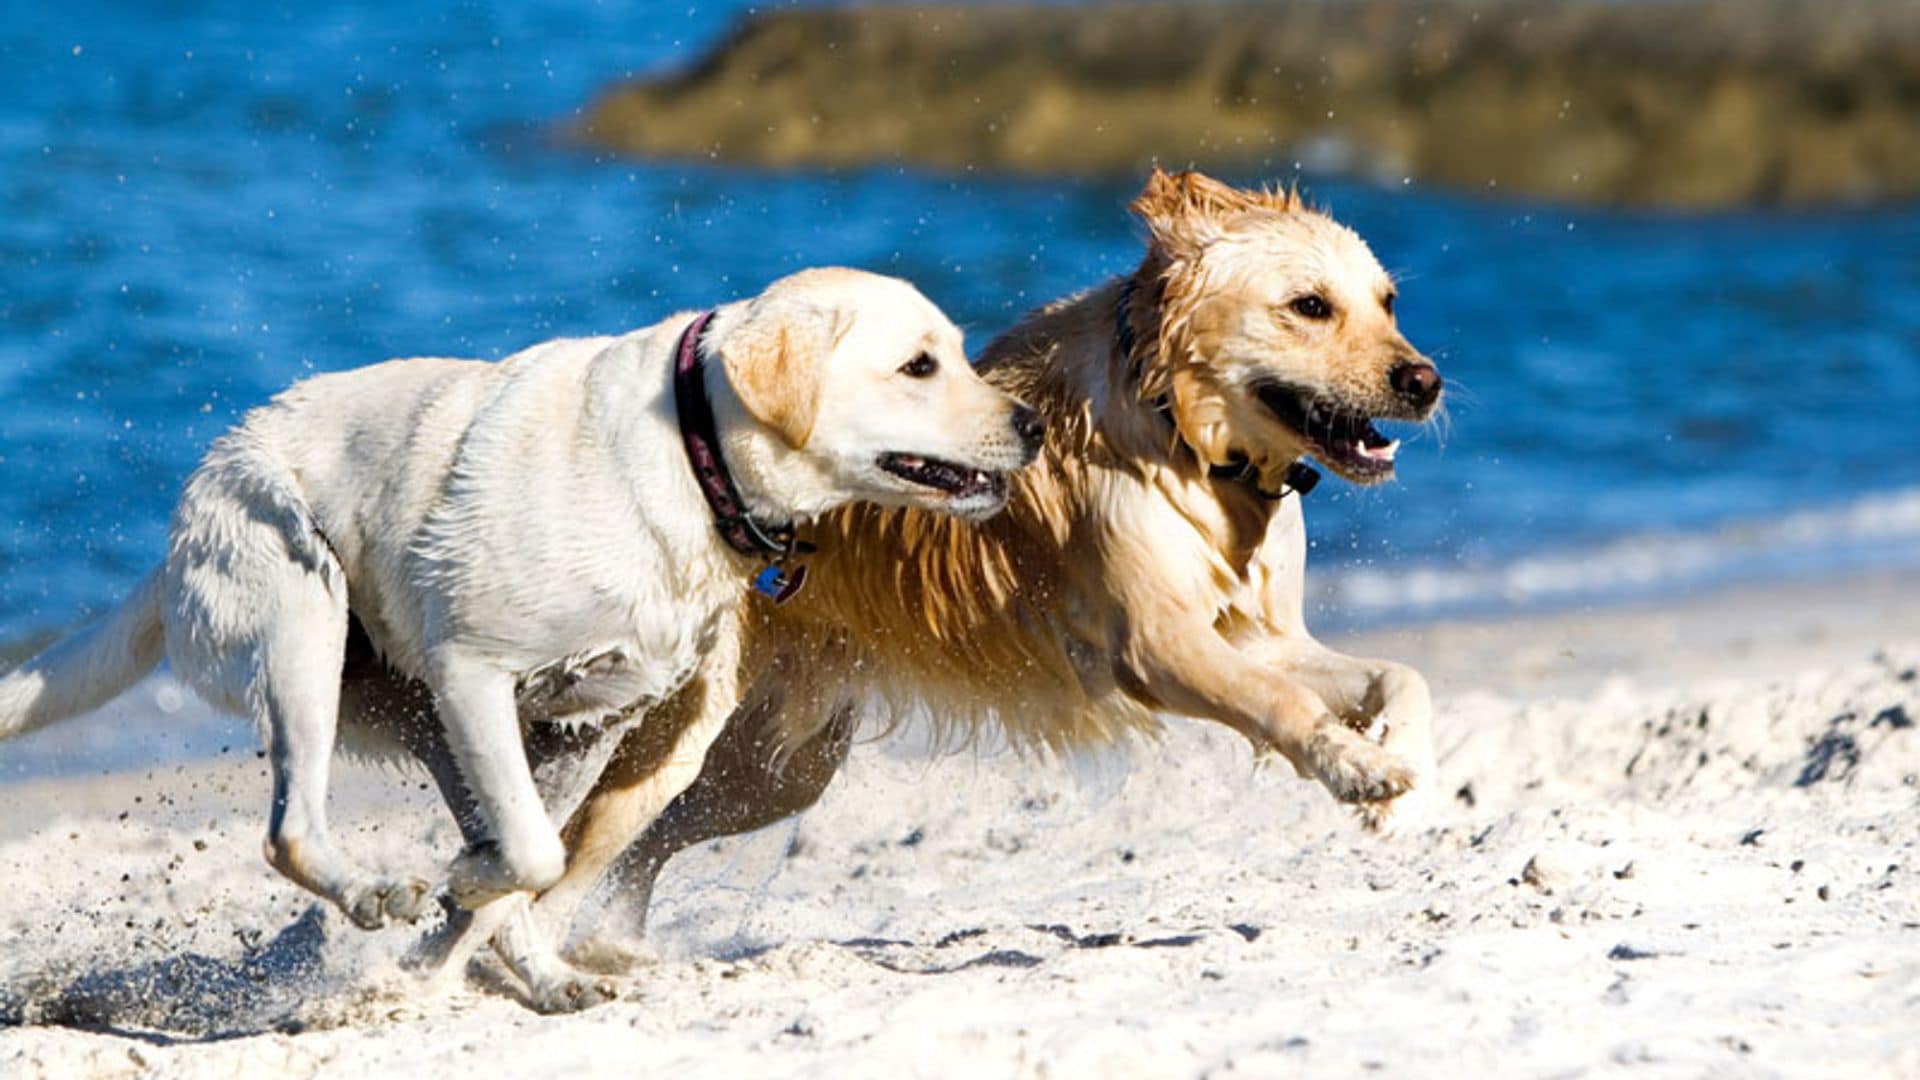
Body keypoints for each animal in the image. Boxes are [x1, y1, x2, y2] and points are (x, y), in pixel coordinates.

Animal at [0, 265, 1044, 1006]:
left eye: (956, 354)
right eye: (919, 366)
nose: (1034, 422)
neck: (693, 452)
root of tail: (179, 527)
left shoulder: (593, 719)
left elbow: (535, 855)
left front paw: (479, 904)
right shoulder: (476, 673)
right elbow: (537, 854)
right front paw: (461, 885)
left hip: (430, 718)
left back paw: (521, 967)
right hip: (304, 615)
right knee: (294, 831)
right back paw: (382, 897)